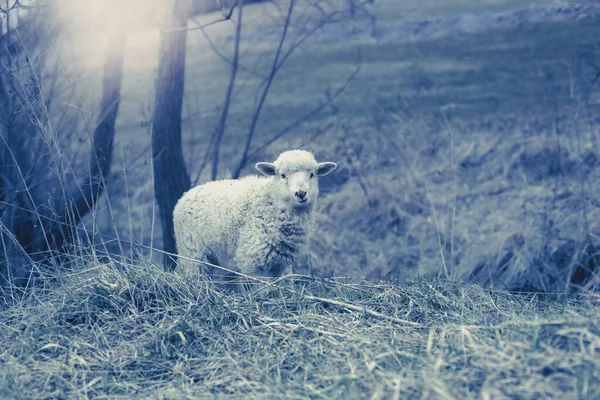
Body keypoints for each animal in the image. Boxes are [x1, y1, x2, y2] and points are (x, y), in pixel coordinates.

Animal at [173, 148, 338, 286]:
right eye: (283, 175)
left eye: (312, 175)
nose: (301, 194)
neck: (271, 202)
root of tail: (186, 195)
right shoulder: (254, 261)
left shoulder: (282, 263)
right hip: (192, 252)